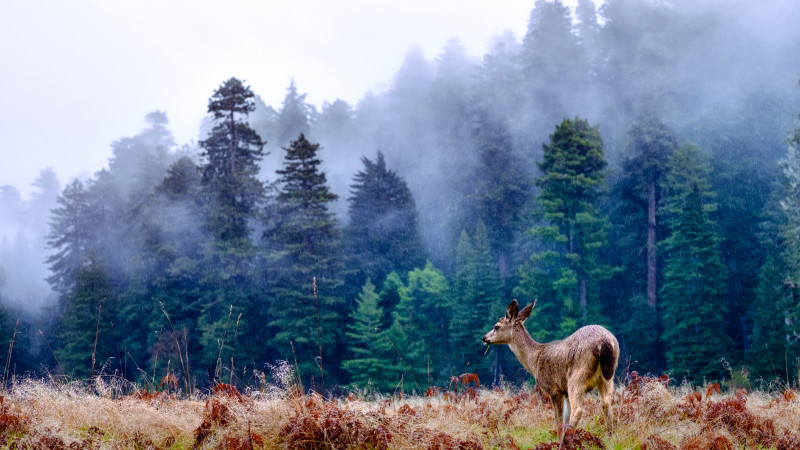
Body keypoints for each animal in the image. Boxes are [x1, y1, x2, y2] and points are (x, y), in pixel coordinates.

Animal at [482, 298, 620, 432]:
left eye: (496, 326)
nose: (484, 338)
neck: (535, 360)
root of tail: (604, 342)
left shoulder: (553, 388)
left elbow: (558, 420)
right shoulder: (564, 392)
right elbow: (564, 418)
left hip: (577, 376)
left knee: (578, 410)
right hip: (607, 377)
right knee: (606, 404)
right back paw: (610, 435)